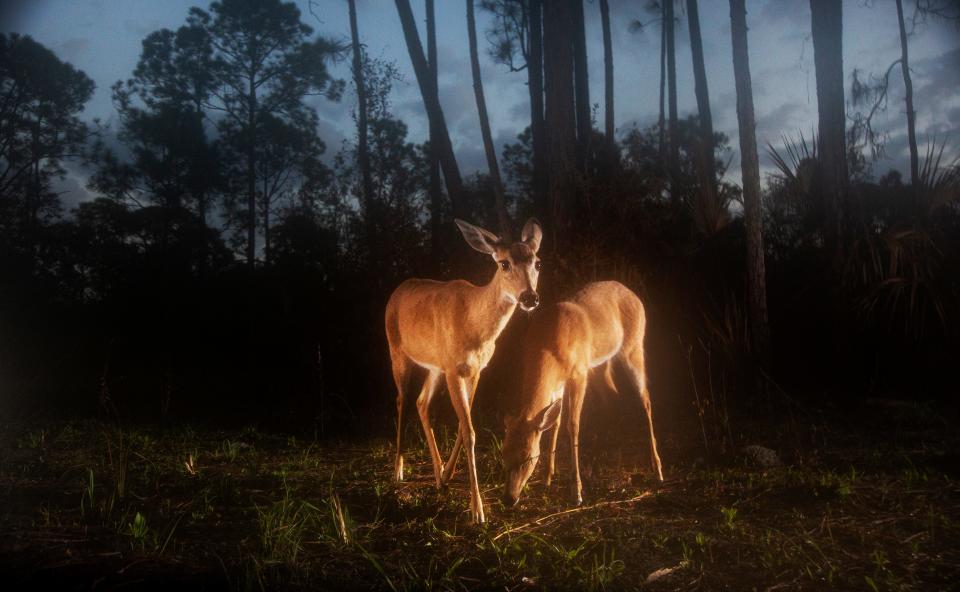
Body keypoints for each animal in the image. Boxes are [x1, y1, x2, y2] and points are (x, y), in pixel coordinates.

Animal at [386, 217, 544, 524]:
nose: (529, 298)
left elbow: (464, 425)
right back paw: (398, 469)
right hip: (397, 350)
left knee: (421, 402)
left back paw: (438, 475)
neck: (475, 324)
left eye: (538, 262)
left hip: (435, 366)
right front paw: (477, 510)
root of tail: (397, 290)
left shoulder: (474, 369)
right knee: (401, 400)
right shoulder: (454, 369)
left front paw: (448, 476)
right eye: (504, 263)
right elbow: (470, 432)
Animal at [498, 280, 664, 506]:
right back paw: (597, 462)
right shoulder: (558, 382)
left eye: (528, 458)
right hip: (603, 363)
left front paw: (576, 492)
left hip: (633, 347)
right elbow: (555, 422)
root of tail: (633, 294)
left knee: (645, 398)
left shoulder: (579, 373)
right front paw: (548, 477)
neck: (547, 346)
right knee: (611, 398)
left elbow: (573, 425)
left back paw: (657, 469)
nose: (508, 498)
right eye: (503, 453)